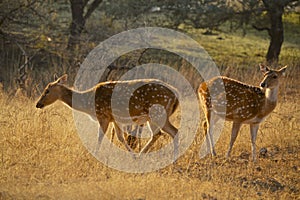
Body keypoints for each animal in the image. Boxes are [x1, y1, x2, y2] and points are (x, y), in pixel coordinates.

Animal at [36, 74, 179, 155]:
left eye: (47, 90)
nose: (38, 104)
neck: (88, 103)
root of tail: (176, 96)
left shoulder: (103, 115)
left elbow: (100, 136)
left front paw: (95, 154)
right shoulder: (114, 119)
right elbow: (120, 138)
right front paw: (131, 154)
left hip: (157, 114)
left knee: (164, 133)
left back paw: (144, 155)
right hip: (156, 116)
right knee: (169, 132)